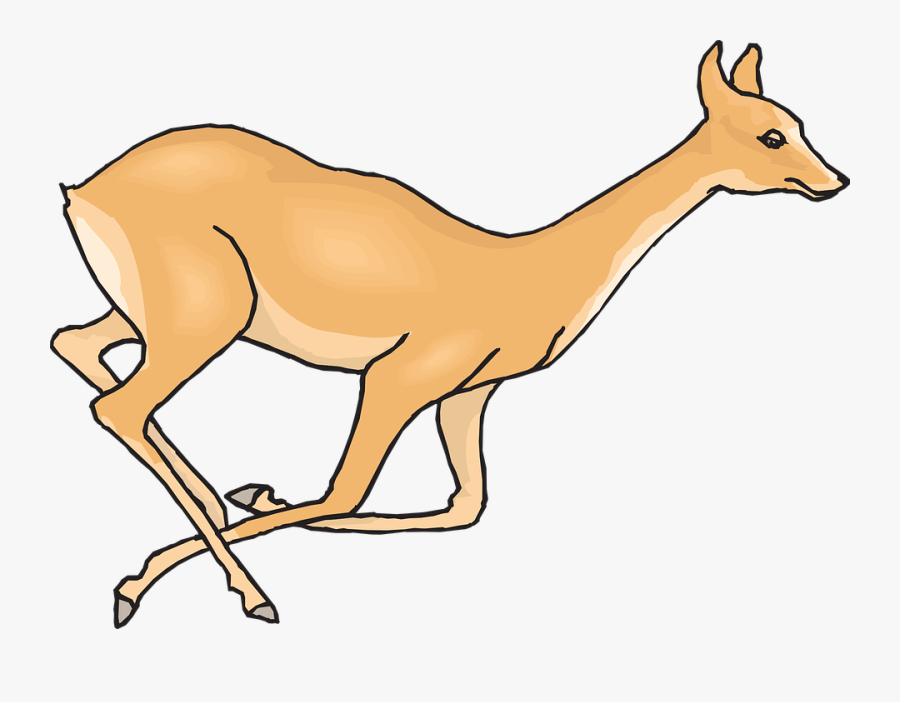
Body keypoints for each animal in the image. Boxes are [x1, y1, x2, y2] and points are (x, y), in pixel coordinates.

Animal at [51, 42, 849, 627]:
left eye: (799, 122)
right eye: (771, 133)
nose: (835, 181)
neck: (523, 270)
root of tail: (84, 190)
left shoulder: (468, 394)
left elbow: (465, 505)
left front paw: (258, 495)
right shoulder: (400, 377)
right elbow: (348, 492)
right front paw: (162, 576)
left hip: (164, 317)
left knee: (76, 346)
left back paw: (218, 499)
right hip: (207, 319)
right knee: (119, 406)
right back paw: (229, 591)